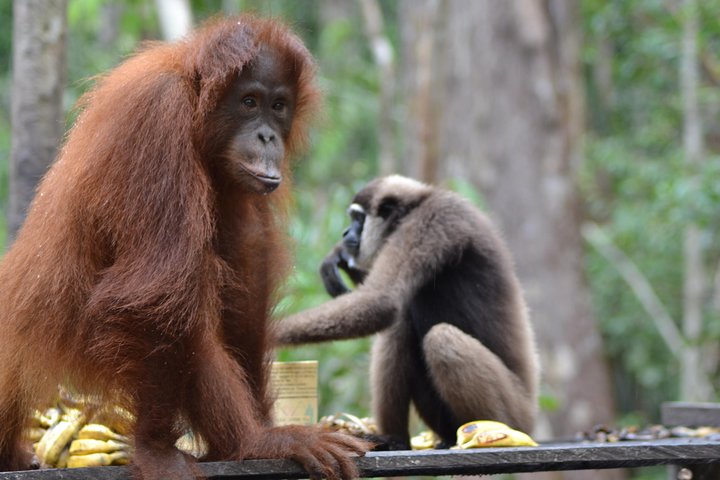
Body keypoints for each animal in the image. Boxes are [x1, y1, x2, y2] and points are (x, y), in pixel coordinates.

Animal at [276, 175, 540, 449]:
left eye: (358, 219)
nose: (346, 232)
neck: (421, 201)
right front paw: (339, 256)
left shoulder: (432, 219)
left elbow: (380, 301)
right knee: (402, 327)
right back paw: (398, 439)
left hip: (517, 411)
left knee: (439, 338)